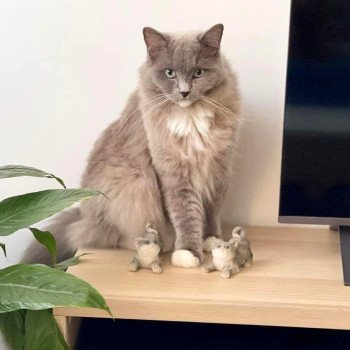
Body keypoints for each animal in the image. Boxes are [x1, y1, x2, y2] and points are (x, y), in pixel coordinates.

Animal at [21, 23, 241, 268]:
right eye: (170, 73)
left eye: (198, 73)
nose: (184, 92)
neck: (190, 116)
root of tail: (82, 215)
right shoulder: (174, 174)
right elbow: (185, 215)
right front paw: (187, 252)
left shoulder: (219, 167)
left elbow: (212, 210)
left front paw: (211, 239)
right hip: (133, 183)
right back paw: (161, 243)